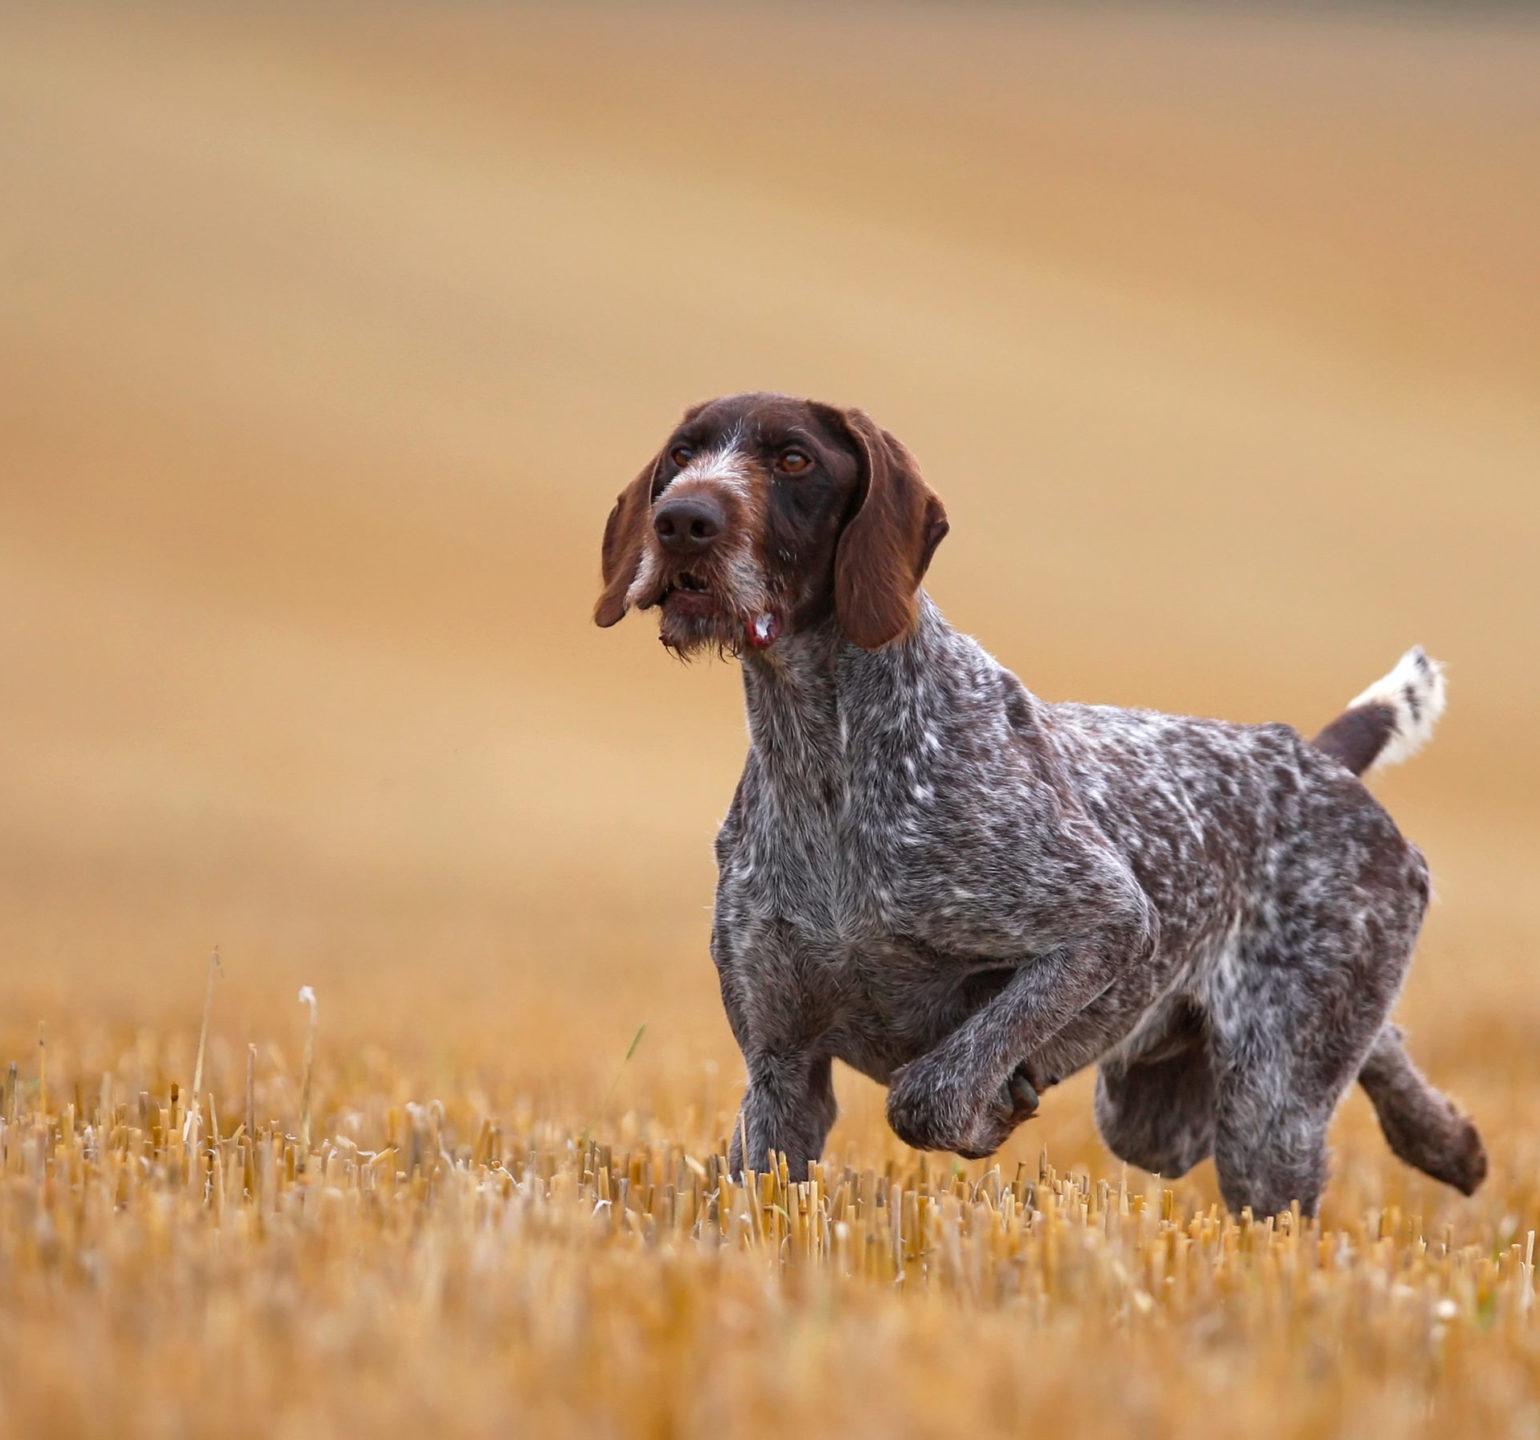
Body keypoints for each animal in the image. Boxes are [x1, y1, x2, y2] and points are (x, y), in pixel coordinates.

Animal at [591, 391, 1478, 1213]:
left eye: (794, 460)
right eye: (682, 454)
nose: (682, 520)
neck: (825, 757)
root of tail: (1317, 756)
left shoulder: (1108, 922)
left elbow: (930, 1092)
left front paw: (987, 1109)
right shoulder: (782, 1071)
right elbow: (757, 1192)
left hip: (1267, 1112)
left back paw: (1438, 1138)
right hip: (1156, 1111)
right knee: (1367, 1047)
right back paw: (1448, 1138)